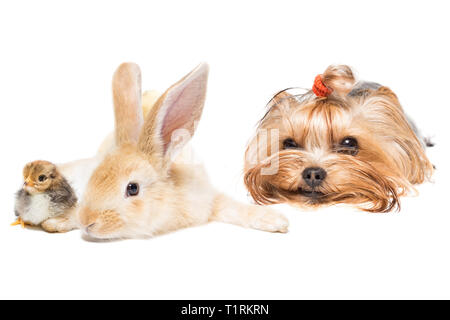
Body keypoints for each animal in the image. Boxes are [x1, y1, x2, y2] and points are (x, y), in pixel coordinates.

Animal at [45, 62, 288, 239]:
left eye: (133, 188)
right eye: (94, 178)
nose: (87, 221)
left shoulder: (208, 199)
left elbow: (234, 209)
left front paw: (276, 221)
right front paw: (57, 222)